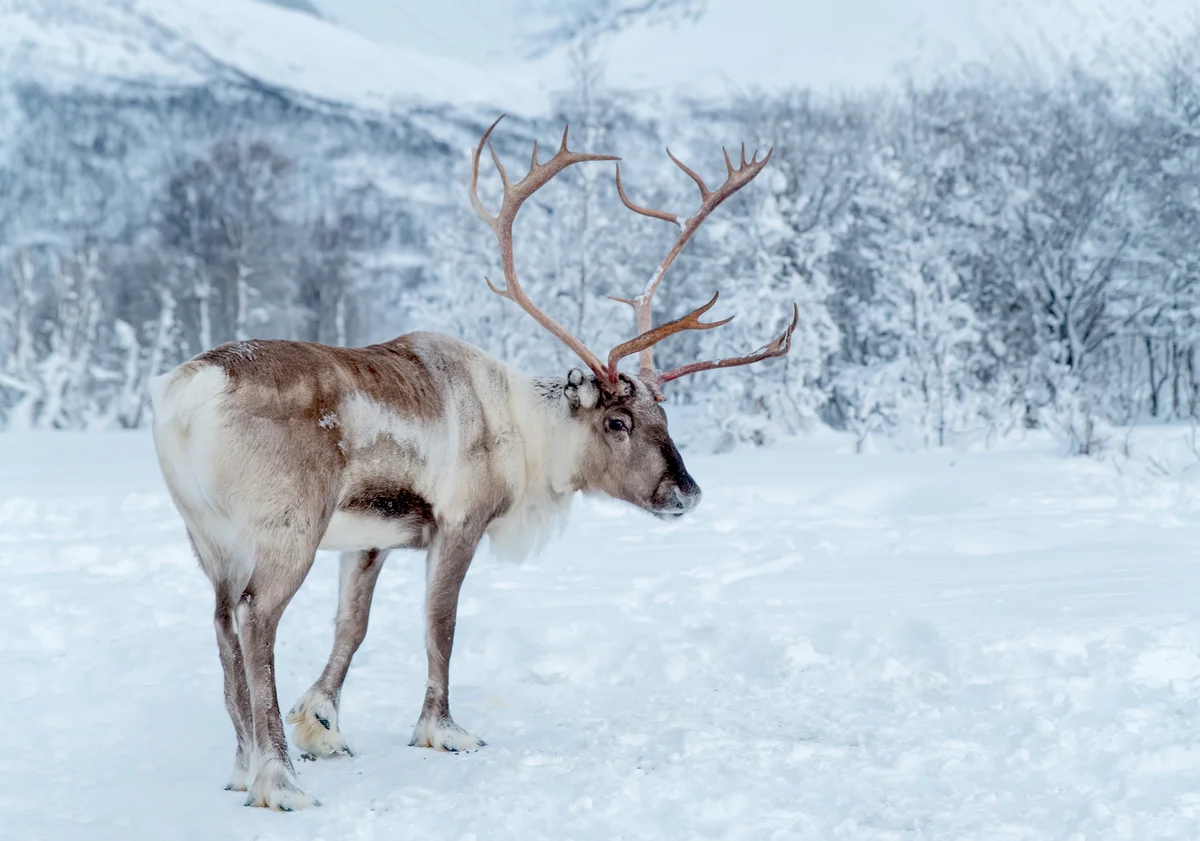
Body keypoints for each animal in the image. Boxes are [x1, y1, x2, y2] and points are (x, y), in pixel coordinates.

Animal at [149, 115, 798, 810]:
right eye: (617, 422)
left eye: (665, 417)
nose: (686, 492)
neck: (525, 432)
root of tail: (187, 395)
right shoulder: (459, 522)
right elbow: (441, 624)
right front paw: (442, 730)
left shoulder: (371, 538)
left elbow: (353, 625)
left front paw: (322, 724)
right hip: (285, 532)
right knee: (257, 621)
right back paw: (277, 780)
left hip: (209, 538)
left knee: (223, 625)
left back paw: (243, 767)